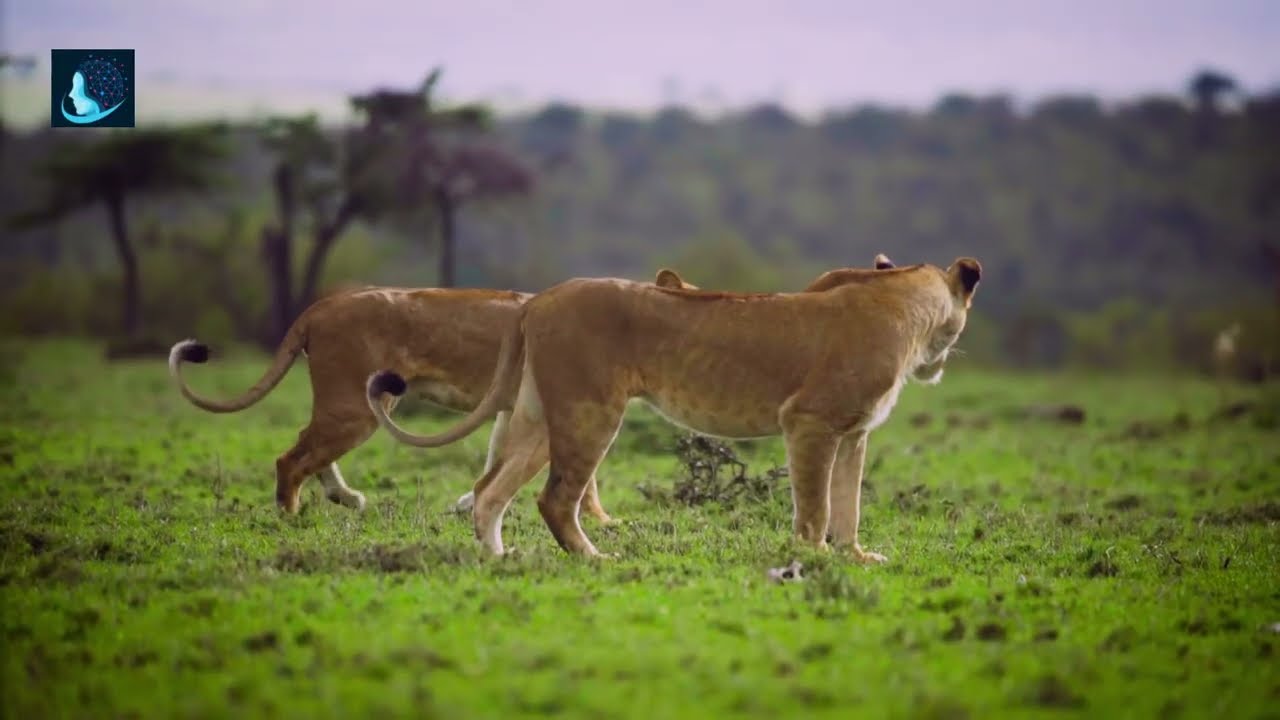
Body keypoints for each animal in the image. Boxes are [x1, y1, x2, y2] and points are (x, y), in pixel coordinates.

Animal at [167, 268, 697, 516]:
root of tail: (321, 306)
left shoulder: (513, 409)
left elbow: (497, 456)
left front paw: (469, 504)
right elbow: (584, 476)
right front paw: (603, 520)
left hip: (355, 402)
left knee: (307, 445)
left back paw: (346, 498)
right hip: (355, 404)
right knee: (290, 458)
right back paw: (292, 515)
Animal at [365, 254, 981, 563]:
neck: (904, 303)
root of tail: (541, 297)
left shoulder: (854, 433)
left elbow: (849, 503)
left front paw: (855, 557)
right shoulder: (809, 420)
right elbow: (817, 507)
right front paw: (815, 561)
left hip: (539, 416)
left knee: (491, 489)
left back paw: (500, 559)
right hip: (591, 410)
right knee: (555, 498)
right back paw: (595, 559)